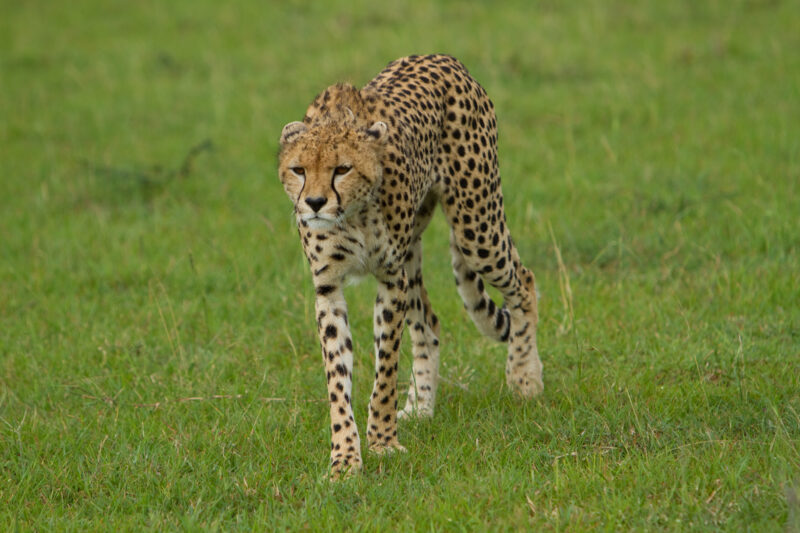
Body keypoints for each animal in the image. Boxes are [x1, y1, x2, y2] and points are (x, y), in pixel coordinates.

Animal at [277, 54, 542, 478]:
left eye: (342, 169)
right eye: (299, 169)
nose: (315, 203)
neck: (351, 214)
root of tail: (444, 58)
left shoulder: (391, 279)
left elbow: (386, 367)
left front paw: (383, 442)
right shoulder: (328, 287)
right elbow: (338, 377)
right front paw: (345, 458)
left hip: (476, 226)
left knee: (524, 280)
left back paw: (524, 377)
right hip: (416, 253)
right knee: (429, 322)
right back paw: (421, 405)